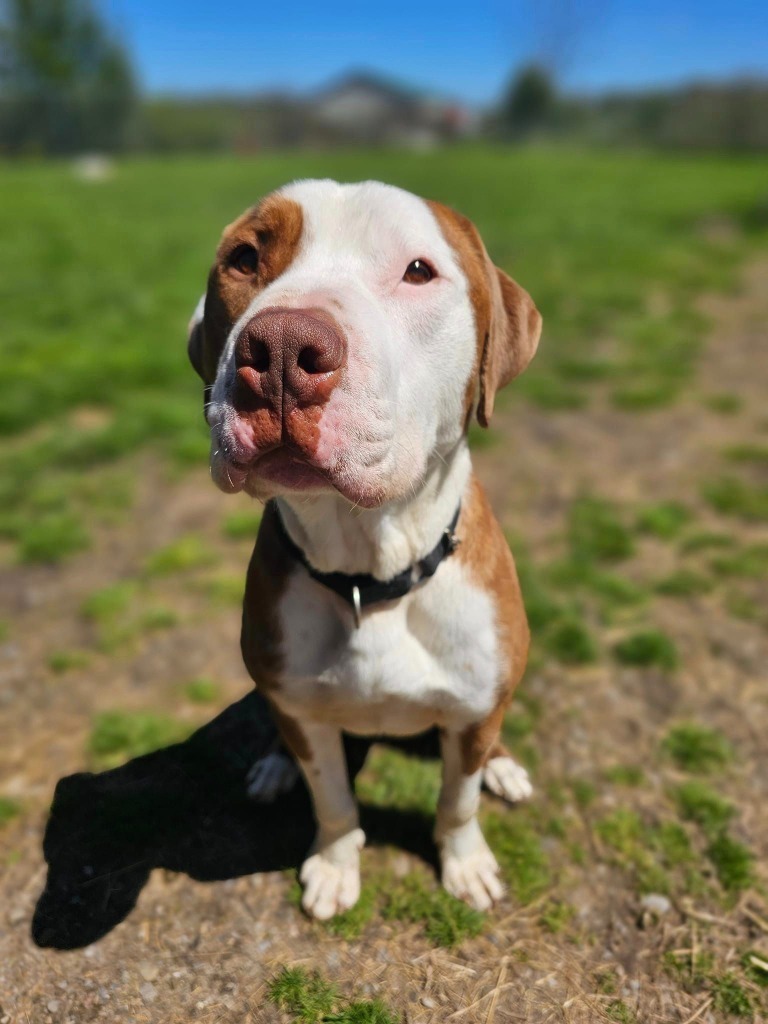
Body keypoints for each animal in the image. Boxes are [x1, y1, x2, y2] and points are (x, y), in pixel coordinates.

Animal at [189, 180, 544, 925]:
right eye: (244, 257)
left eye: (418, 270)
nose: (281, 346)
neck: (369, 571)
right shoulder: (306, 716)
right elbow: (331, 798)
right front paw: (334, 863)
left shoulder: (470, 713)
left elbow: (458, 801)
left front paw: (465, 864)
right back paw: (273, 766)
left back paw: (504, 766)